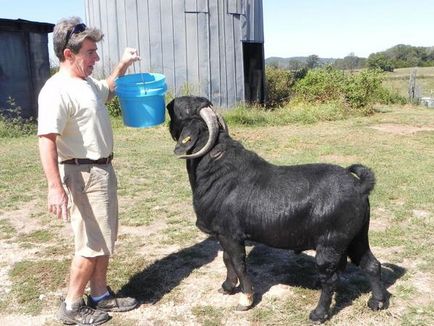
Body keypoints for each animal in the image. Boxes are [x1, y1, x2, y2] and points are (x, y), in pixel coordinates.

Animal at [167, 95, 390, 322]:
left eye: (184, 109)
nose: (169, 103)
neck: (217, 166)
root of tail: (359, 186)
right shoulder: (223, 235)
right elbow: (226, 259)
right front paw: (228, 286)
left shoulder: (230, 234)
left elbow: (238, 263)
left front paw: (245, 300)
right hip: (356, 237)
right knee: (371, 264)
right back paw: (377, 302)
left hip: (331, 243)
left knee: (330, 278)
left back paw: (318, 313)